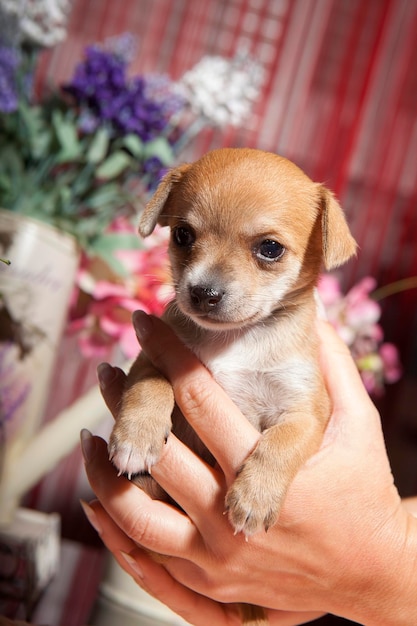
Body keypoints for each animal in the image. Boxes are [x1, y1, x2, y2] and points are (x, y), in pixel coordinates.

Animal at [106, 147, 354, 624]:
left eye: (270, 249)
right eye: (182, 235)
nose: (203, 292)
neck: (237, 340)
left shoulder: (304, 412)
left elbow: (281, 444)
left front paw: (254, 498)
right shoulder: (152, 355)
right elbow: (150, 386)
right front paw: (137, 437)